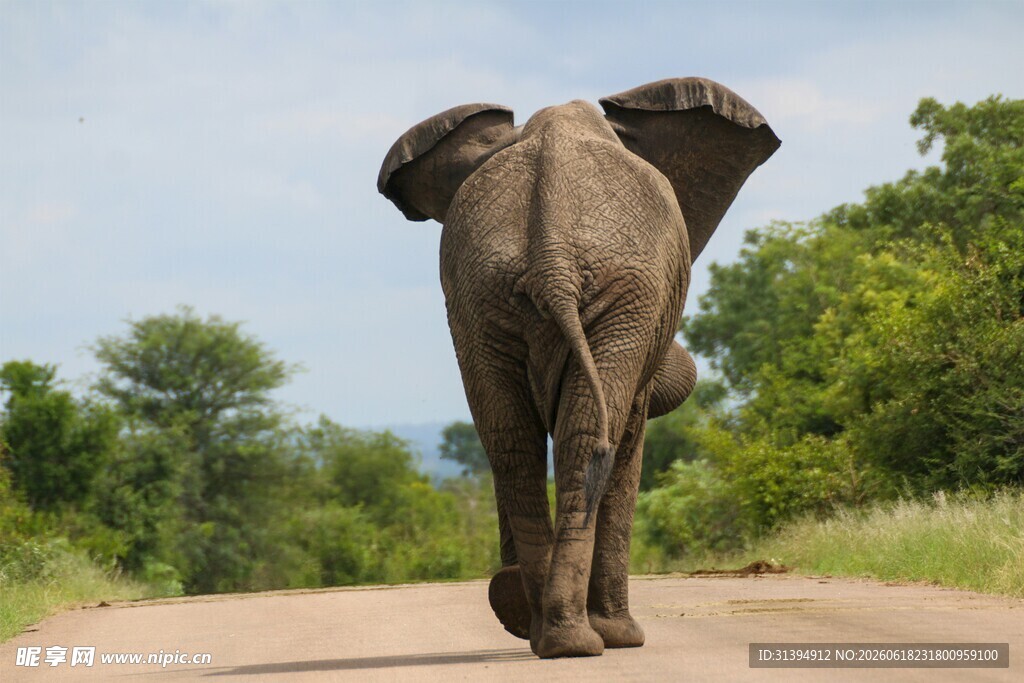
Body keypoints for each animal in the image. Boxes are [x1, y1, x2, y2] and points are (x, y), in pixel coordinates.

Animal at [377, 77, 779, 658]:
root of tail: (552, 257)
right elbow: (629, 441)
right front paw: (624, 637)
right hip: (620, 298)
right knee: (588, 437)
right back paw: (581, 640)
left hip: (482, 296)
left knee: (509, 441)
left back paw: (544, 633)